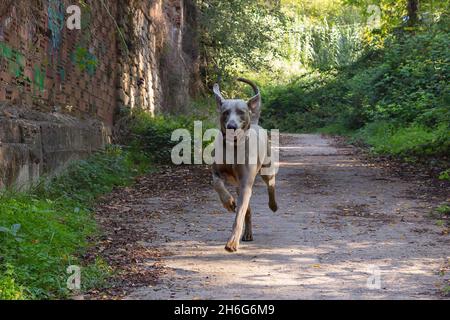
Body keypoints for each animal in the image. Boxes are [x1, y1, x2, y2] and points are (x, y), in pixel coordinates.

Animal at [211, 78, 278, 252]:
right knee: (248, 209)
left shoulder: (246, 182)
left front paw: (232, 242)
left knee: (271, 184)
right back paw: (248, 234)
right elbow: (217, 184)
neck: (233, 147)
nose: (232, 126)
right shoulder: (217, 172)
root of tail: (255, 122)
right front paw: (228, 202)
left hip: (266, 170)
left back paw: (273, 205)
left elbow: (239, 215)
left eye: (241, 112)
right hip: (237, 184)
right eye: (225, 112)